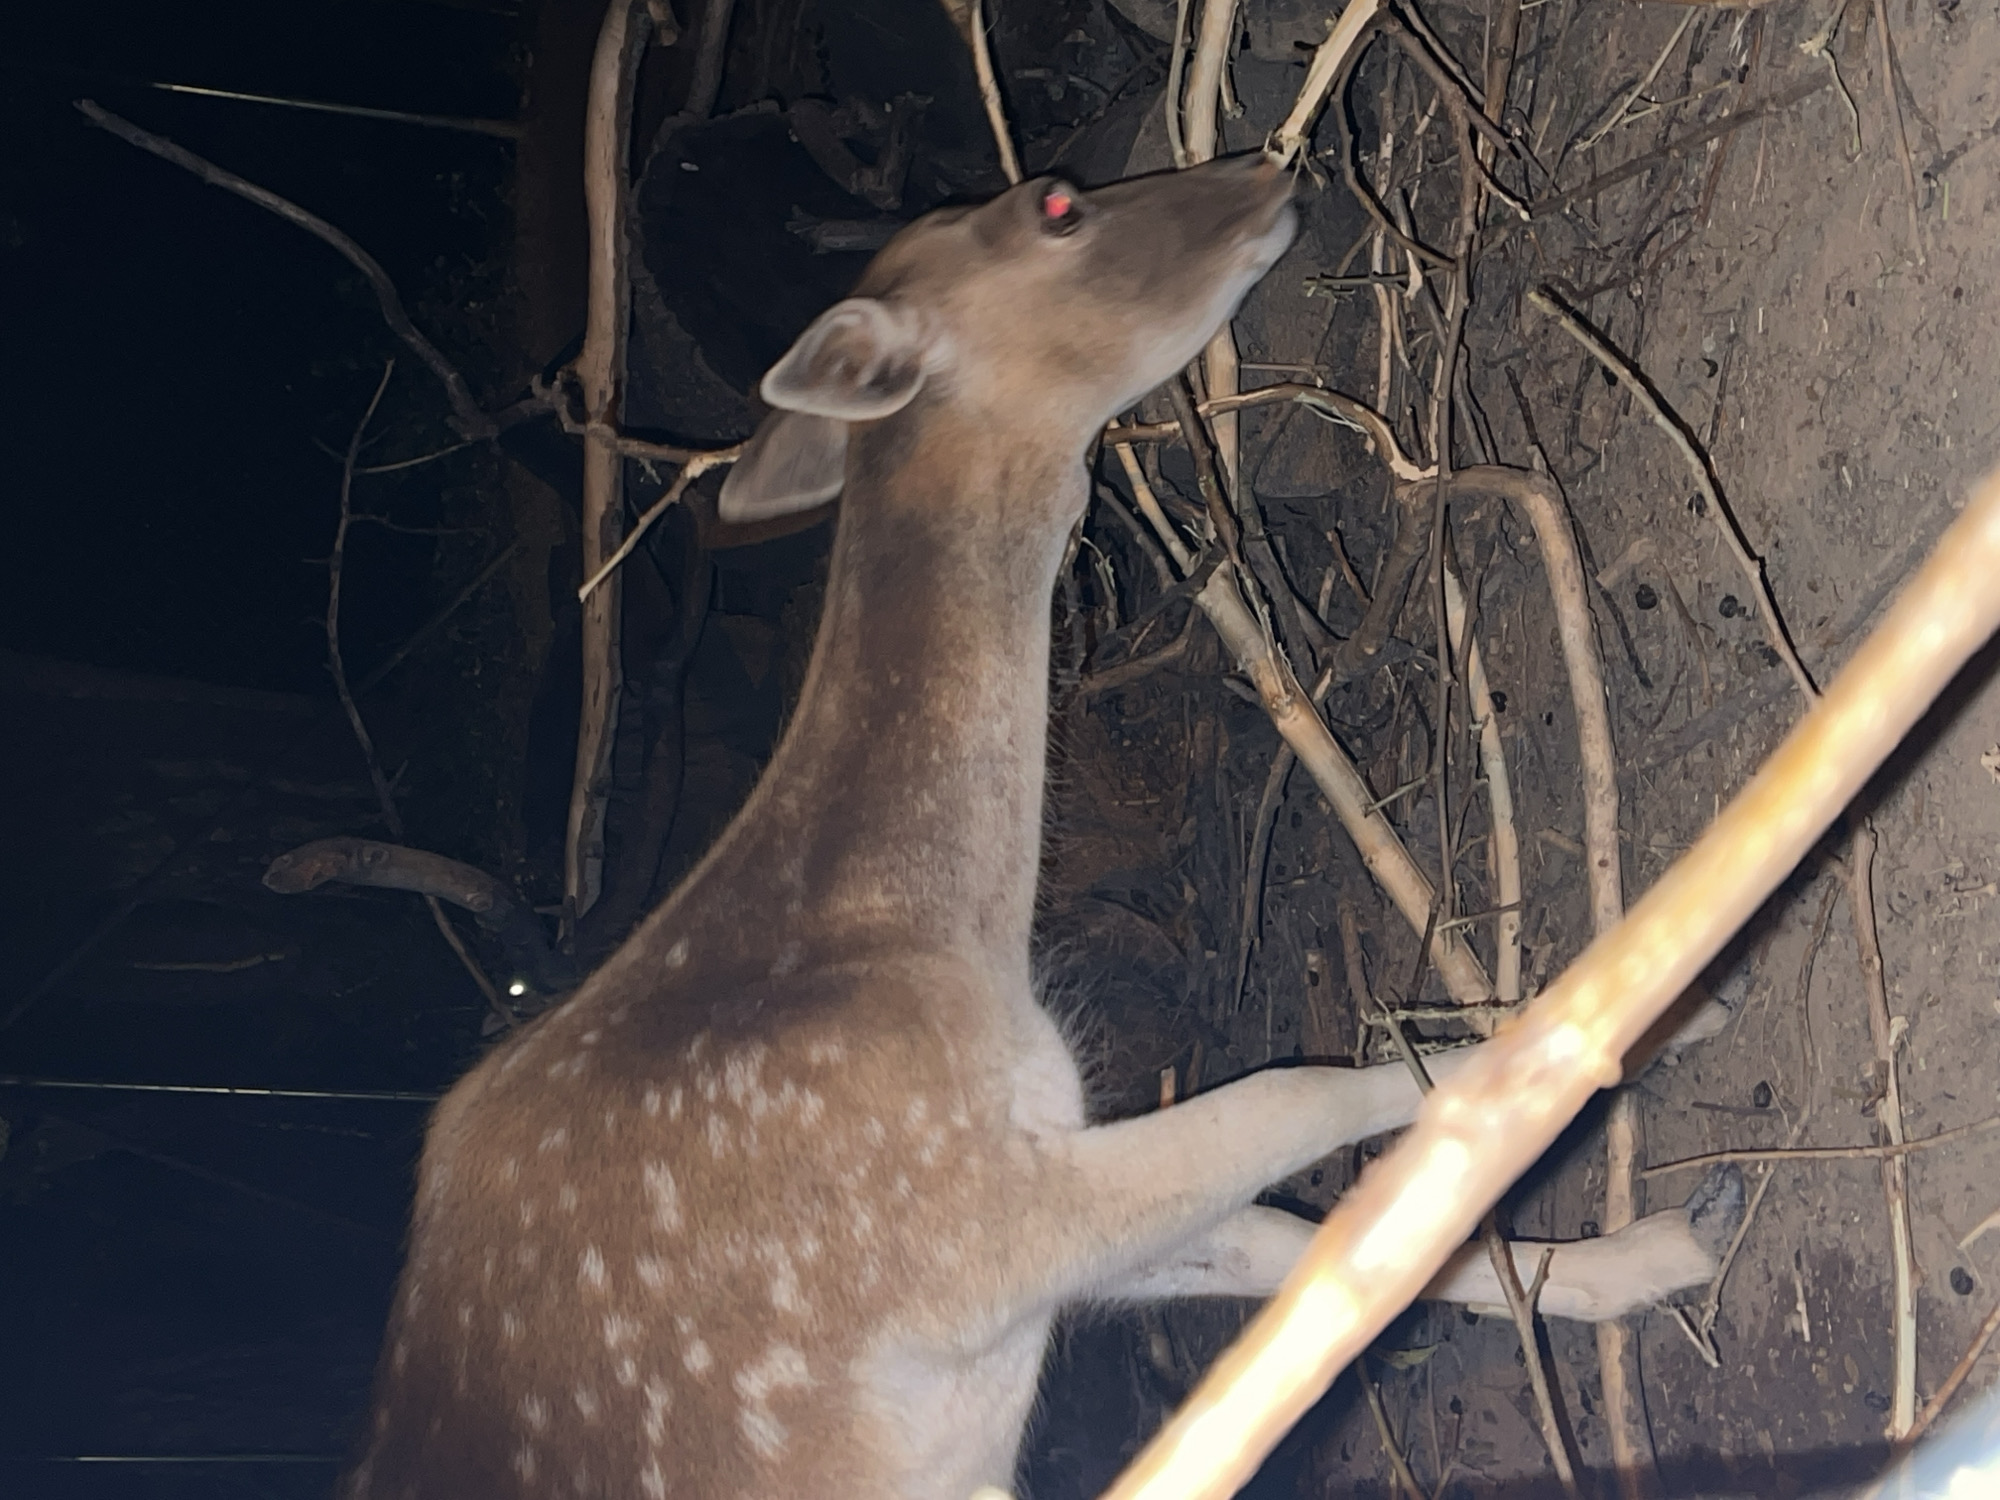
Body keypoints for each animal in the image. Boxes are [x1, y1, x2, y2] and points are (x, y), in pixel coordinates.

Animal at [344, 153, 1744, 1500]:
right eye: (1056, 203)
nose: (1270, 169)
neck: (924, 934)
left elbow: (1310, 1248)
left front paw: (1663, 1243)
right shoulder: (960, 1215)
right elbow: (1294, 1093)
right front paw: (1654, 1015)